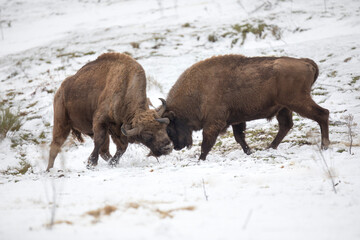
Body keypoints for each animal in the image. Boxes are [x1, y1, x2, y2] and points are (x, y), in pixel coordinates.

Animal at [162, 55, 330, 160]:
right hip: (284, 107)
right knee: (286, 125)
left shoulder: (213, 123)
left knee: (322, 114)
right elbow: (240, 137)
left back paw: (325, 146)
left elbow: (207, 142)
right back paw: (270, 147)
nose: (176, 147)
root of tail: (305, 62)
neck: (198, 91)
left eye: (170, 128)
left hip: (298, 102)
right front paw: (249, 151)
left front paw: (200, 159)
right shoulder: (236, 120)